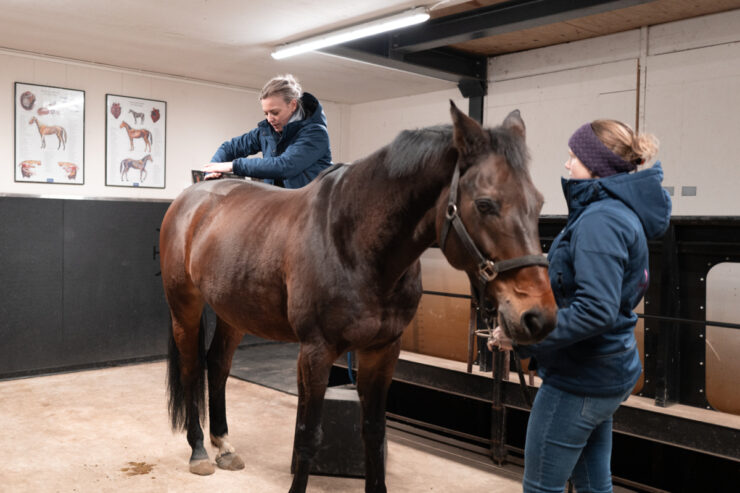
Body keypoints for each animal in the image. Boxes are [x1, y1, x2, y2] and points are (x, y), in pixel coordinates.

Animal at [160, 102, 556, 490]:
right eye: (486, 204)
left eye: (538, 202)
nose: (538, 316)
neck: (354, 242)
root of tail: (190, 198)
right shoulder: (316, 352)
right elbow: (308, 436)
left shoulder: (382, 351)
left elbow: (374, 434)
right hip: (184, 307)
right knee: (192, 367)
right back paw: (199, 451)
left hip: (233, 312)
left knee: (217, 365)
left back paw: (224, 446)